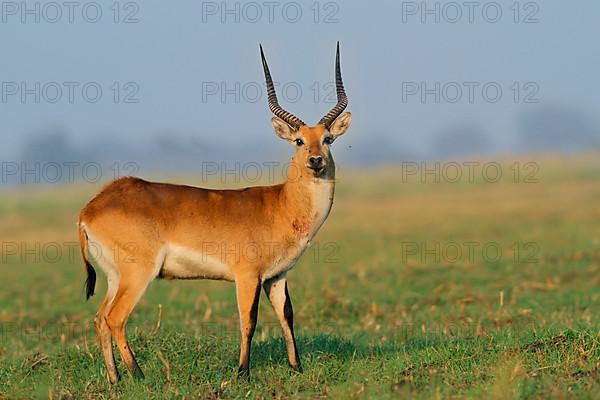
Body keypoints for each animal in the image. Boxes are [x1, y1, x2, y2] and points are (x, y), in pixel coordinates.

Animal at [79, 42, 352, 382]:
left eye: (327, 138)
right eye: (299, 140)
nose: (316, 160)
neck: (280, 205)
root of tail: (91, 207)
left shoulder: (277, 276)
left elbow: (287, 316)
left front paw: (297, 367)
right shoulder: (247, 276)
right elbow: (248, 320)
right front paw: (242, 373)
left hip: (116, 276)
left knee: (100, 318)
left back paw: (116, 379)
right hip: (138, 273)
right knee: (115, 318)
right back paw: (139, 376)